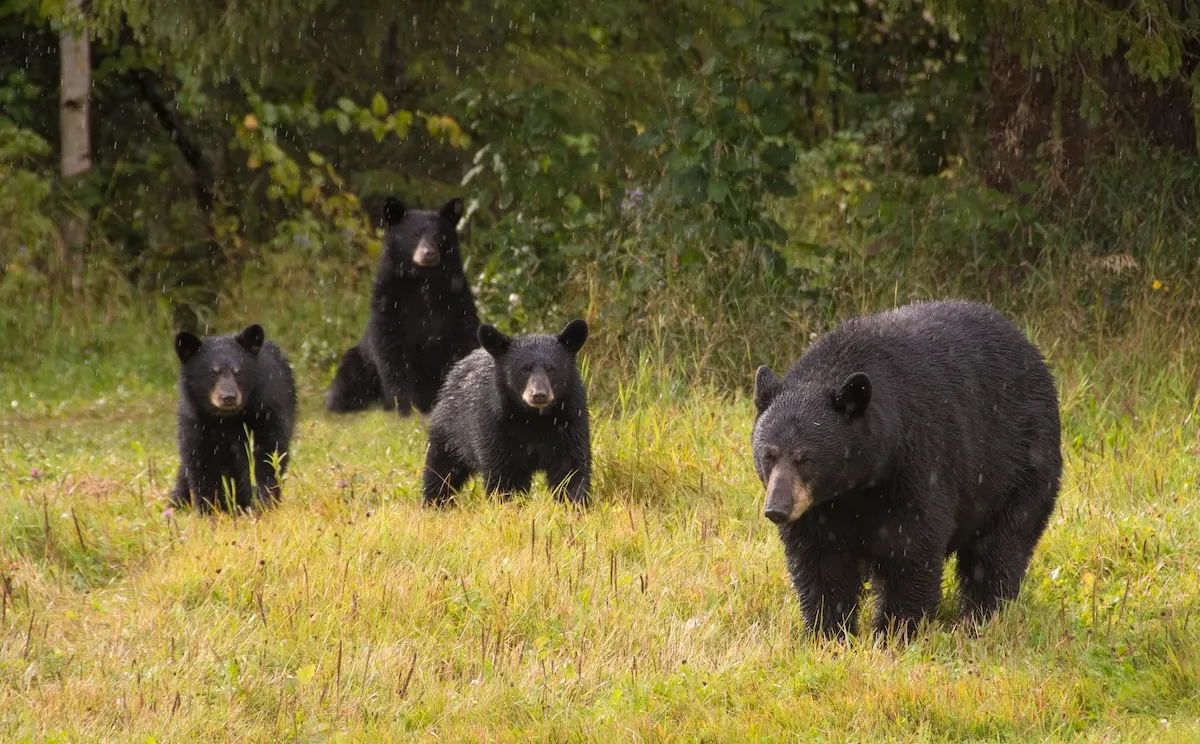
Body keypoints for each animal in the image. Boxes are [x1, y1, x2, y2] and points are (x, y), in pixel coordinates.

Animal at [171, 324, 298, 513]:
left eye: (238, 372)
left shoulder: (265, 415)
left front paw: (262, 505)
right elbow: (201, 465)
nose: (228, 397)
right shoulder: (196, 425)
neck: (226, 419)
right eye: (212, 373)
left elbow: (264, 459)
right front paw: (210, 510)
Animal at [326, 196, 480, 416]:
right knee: (348, 380)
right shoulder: (389, 304)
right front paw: (407, 406)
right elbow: (394, 354)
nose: (428, 254)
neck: (423, 281)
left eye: (439, 236)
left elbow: (463, 342)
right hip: (359, 360)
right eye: (415, 235)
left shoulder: (458, 303)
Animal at [422, 319, 592, 507]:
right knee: (441, 468)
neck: (534, 418)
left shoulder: (569, 420)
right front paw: (508, 505)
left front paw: (575, 503)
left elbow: (570, 466)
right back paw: (435, 503)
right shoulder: (495, 425)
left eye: (551, 369)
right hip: (449, 428)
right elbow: (505, 474)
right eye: (524, 370)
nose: (539, 394)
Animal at [751, 300, 1062, 640]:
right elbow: (820, 559)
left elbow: (909, 546)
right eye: (769, 455)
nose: (777, 509)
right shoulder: (819, 508)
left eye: (805, 459)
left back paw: (980, 617)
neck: (855, 485)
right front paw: (828, 631)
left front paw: (895, 631)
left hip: (1021, 467)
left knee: (999, 548)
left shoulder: (916, 465)